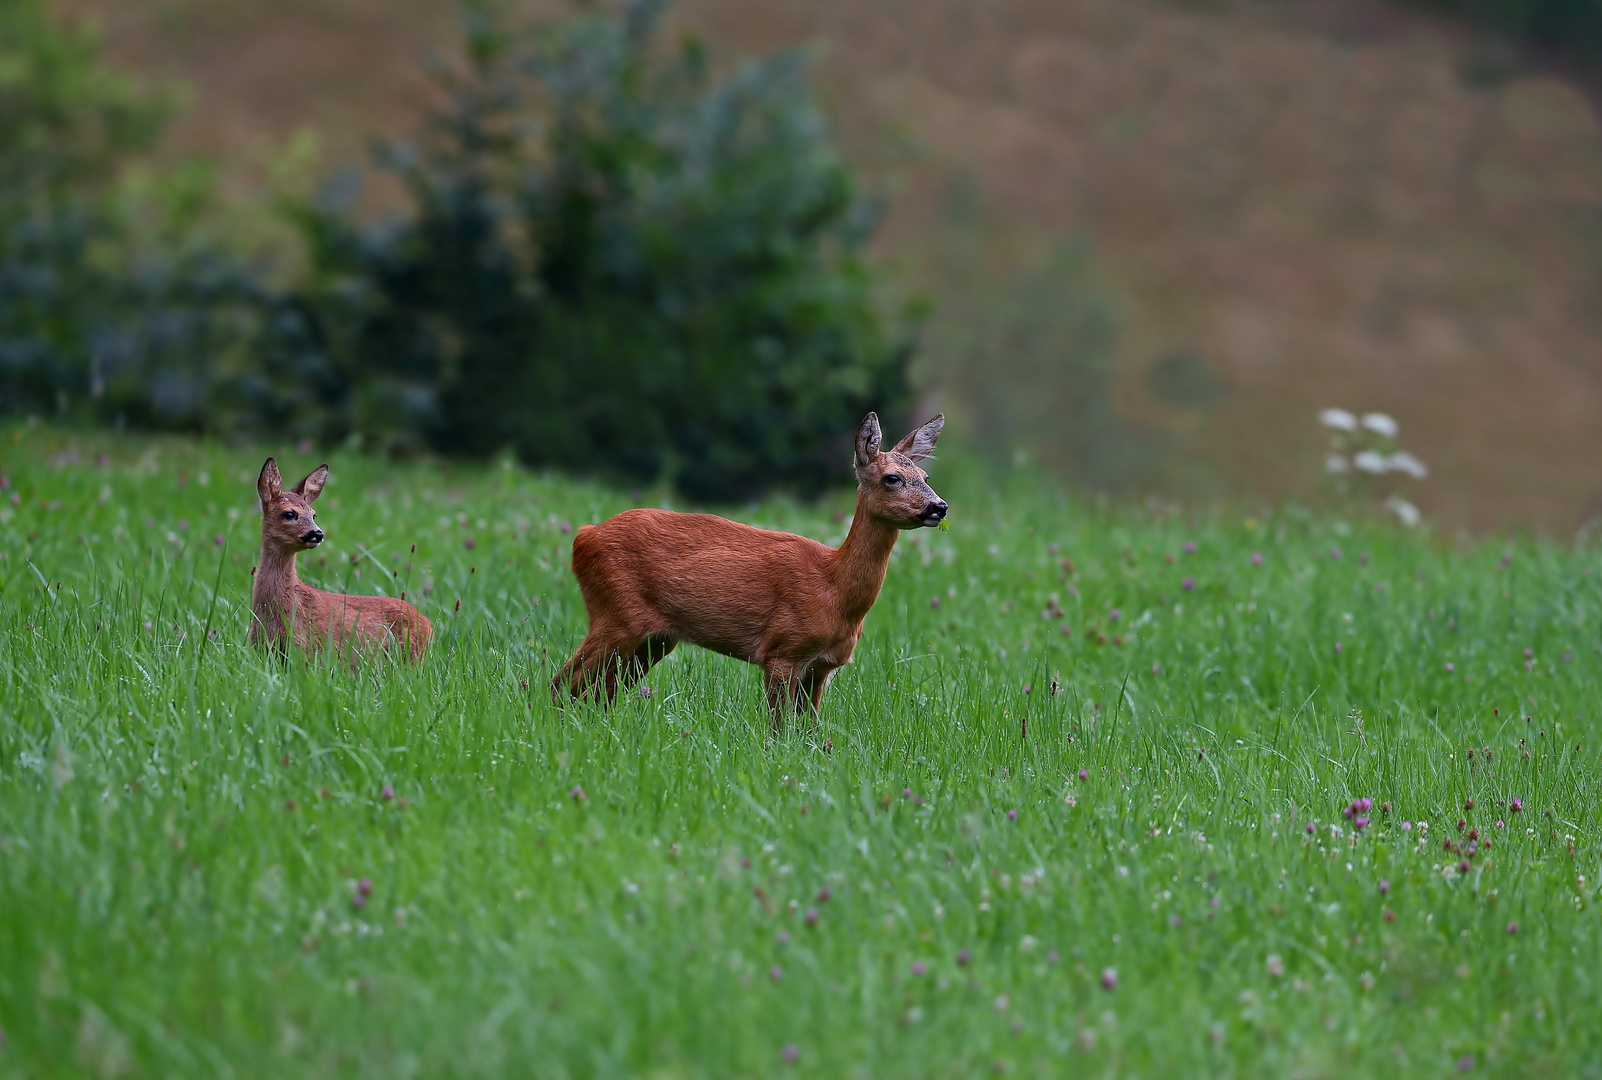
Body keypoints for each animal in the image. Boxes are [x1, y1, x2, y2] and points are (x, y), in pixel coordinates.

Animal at [557, 413, 941, 724]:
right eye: (892, 478)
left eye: (925, 475)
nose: (939, 506)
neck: (834, 588)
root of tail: (583, 535)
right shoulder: (782, 650)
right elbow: (778, 730)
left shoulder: (821, 667)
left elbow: (810, 732)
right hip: (616, 615)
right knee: (563, 683)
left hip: (654, 639)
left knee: (598, 692)